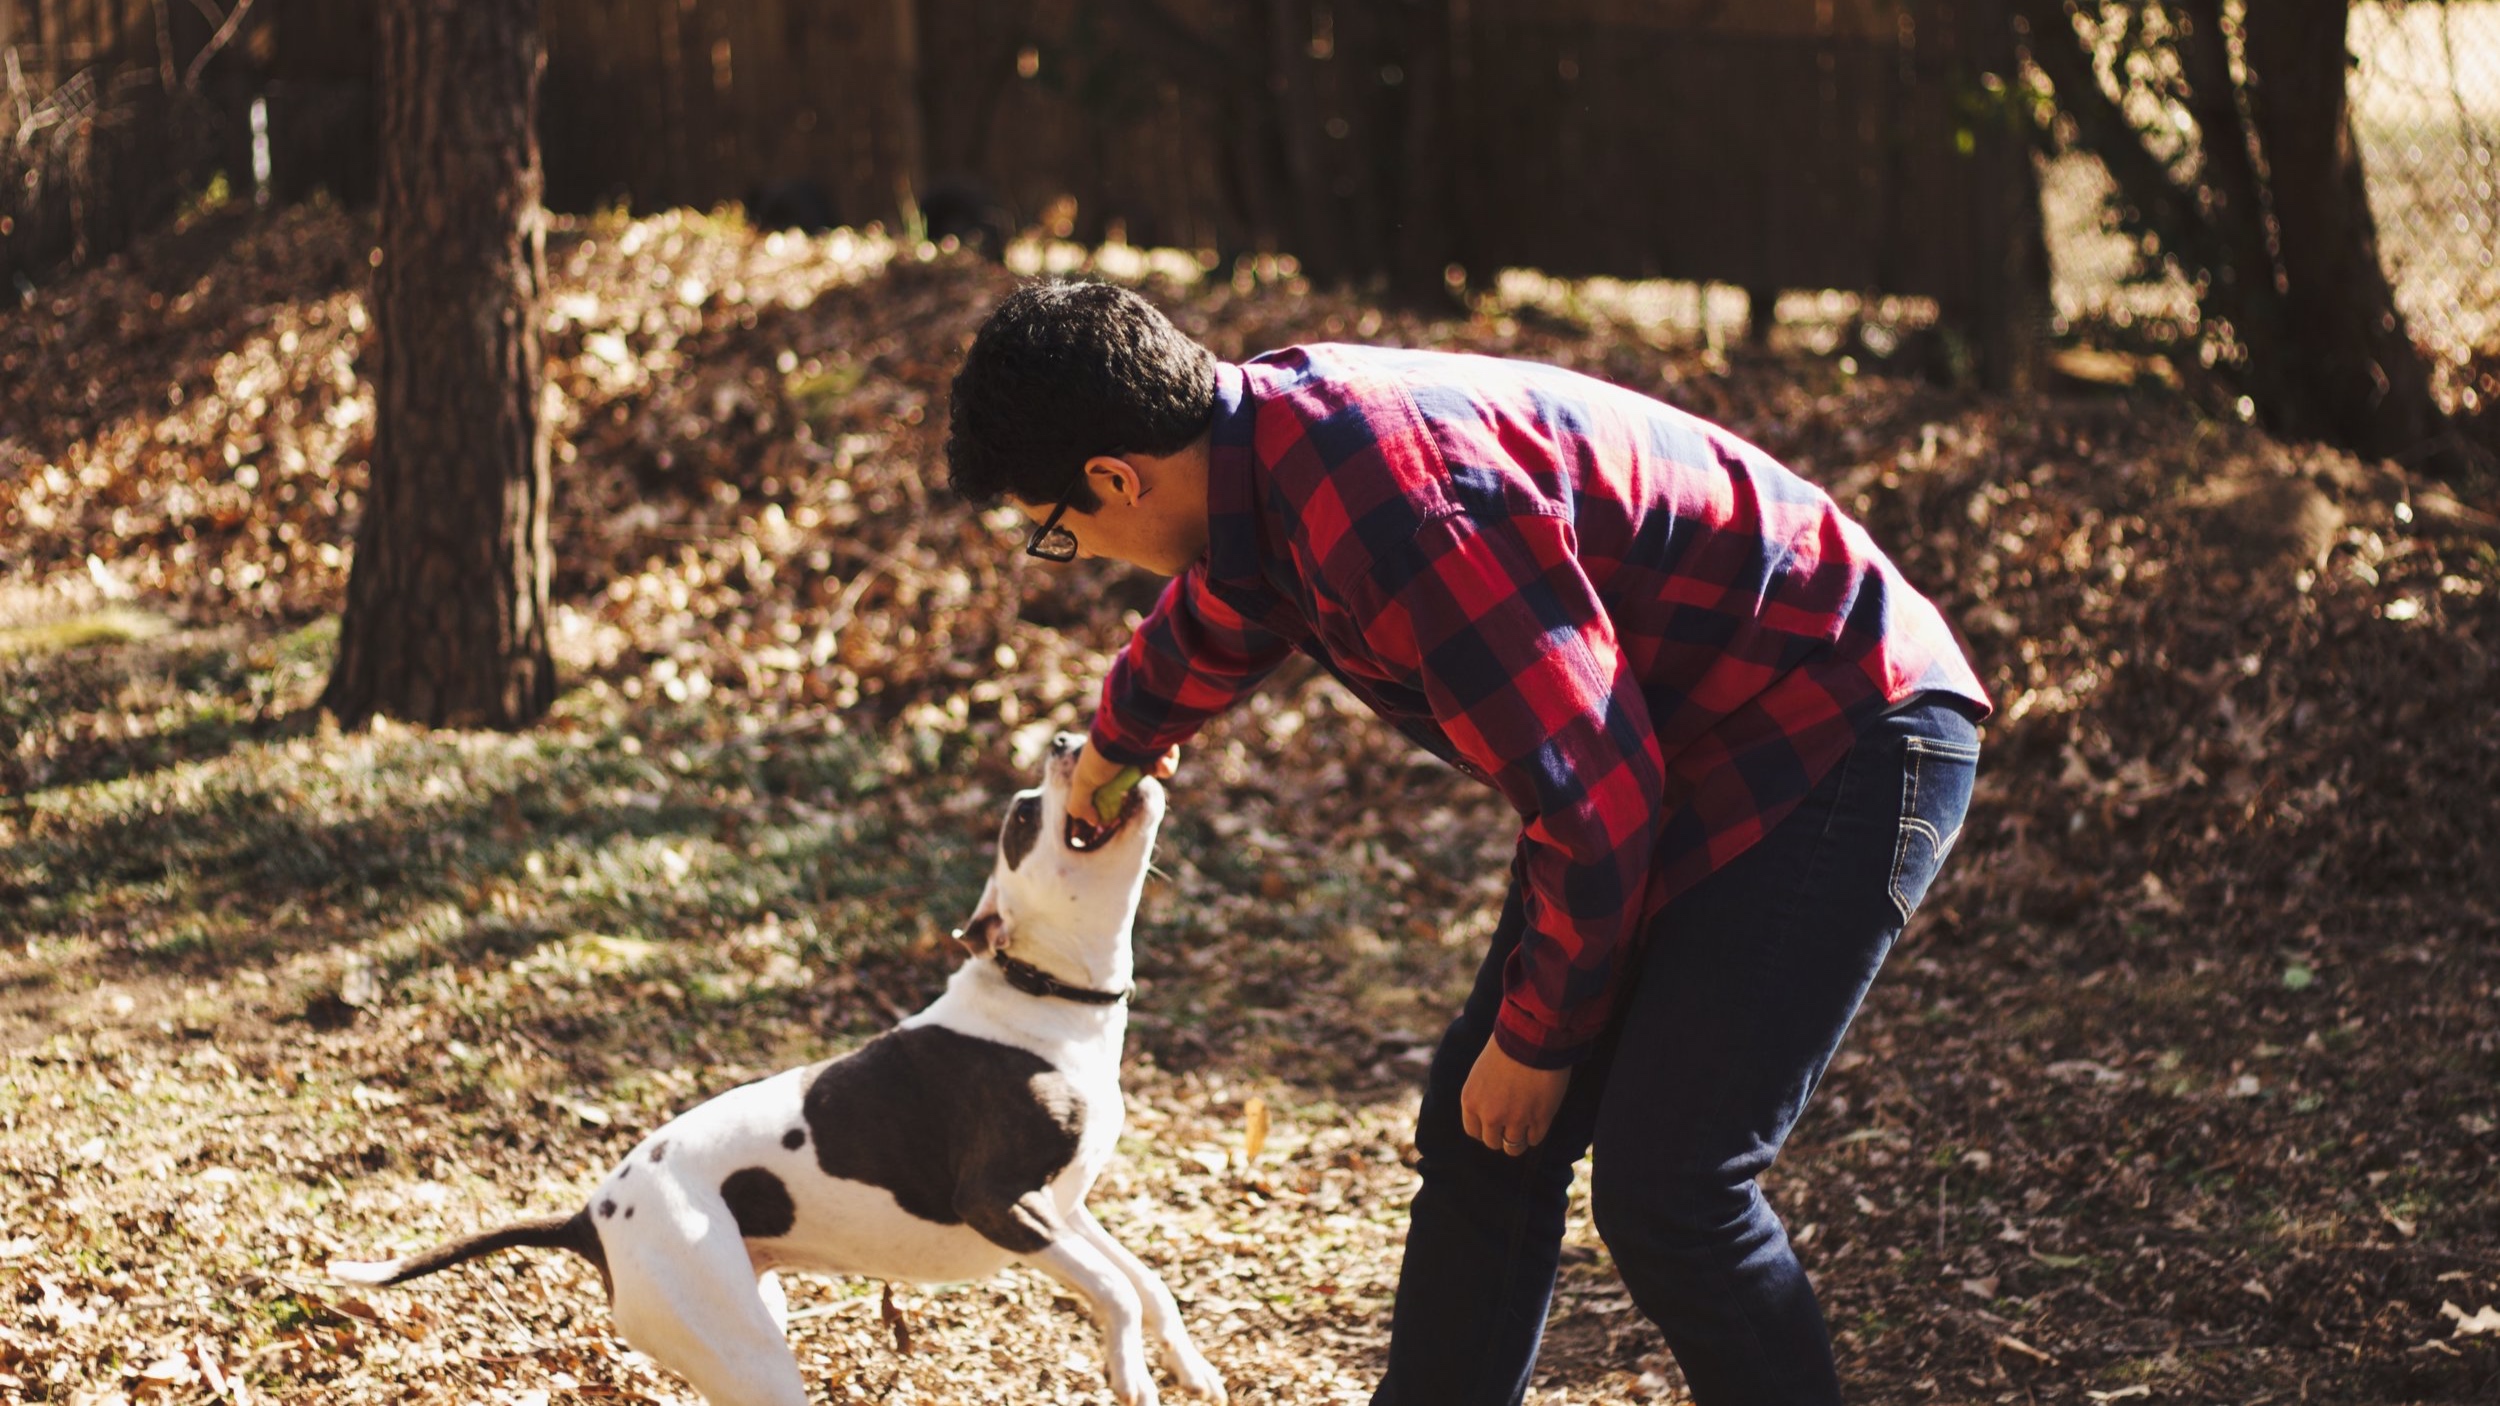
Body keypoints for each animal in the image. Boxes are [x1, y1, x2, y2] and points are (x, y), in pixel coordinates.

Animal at [327, 735, 1225, 1400]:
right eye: (1024, 814)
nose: (1069, 739)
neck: (1042, 995)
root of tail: (591, 1215)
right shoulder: (1001, 1203)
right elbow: (1116, 1292)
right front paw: (1131, 1375)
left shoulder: (1065, 1207)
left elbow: (1148, 1284)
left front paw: (1190, 1368)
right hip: (751, 1353)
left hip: (752, 1320)